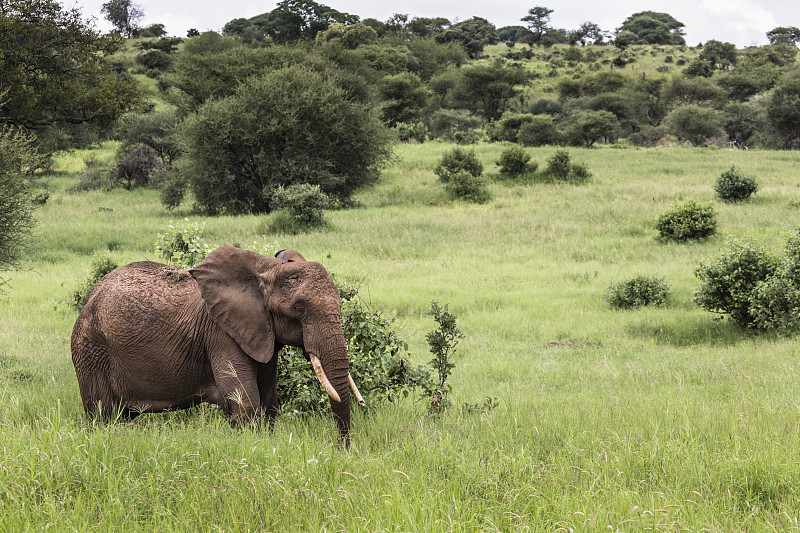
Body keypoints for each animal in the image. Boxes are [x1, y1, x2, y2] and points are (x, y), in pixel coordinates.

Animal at [70, 245, 364, 444]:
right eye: (299, 309)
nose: (342, 448)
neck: (265, 269)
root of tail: (90, 297)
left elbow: (269, 403)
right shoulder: (221, 334)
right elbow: (245, 405)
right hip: (90, 348)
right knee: (102, 414)